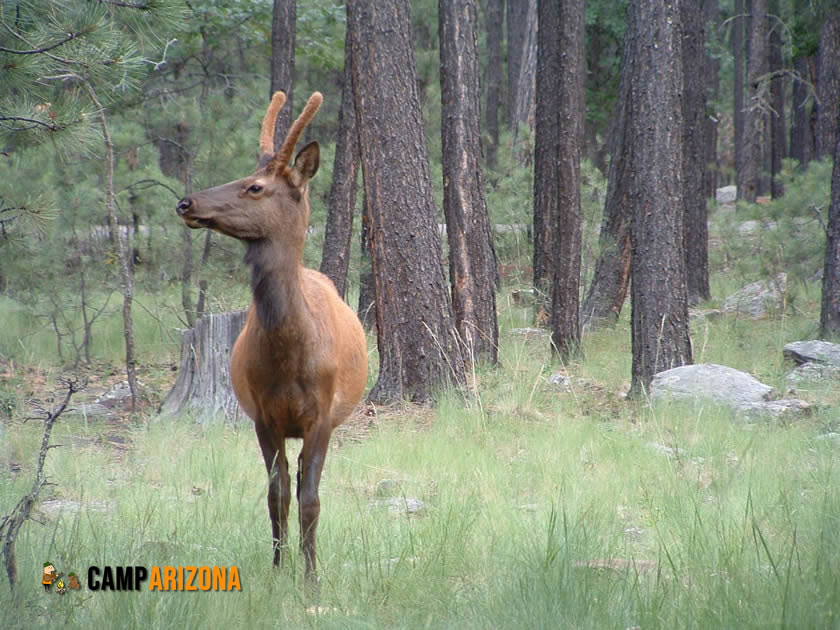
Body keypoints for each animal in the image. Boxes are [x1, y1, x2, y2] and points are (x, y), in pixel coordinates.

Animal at [175, 92, 368, 584]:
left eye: (255, 187)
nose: (185, 202)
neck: (290, 354)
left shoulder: (321, 417)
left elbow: (311, 501)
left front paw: (312, 578)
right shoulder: (264, 418)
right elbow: (275, 497)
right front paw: (280, 569)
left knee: (305, 485)